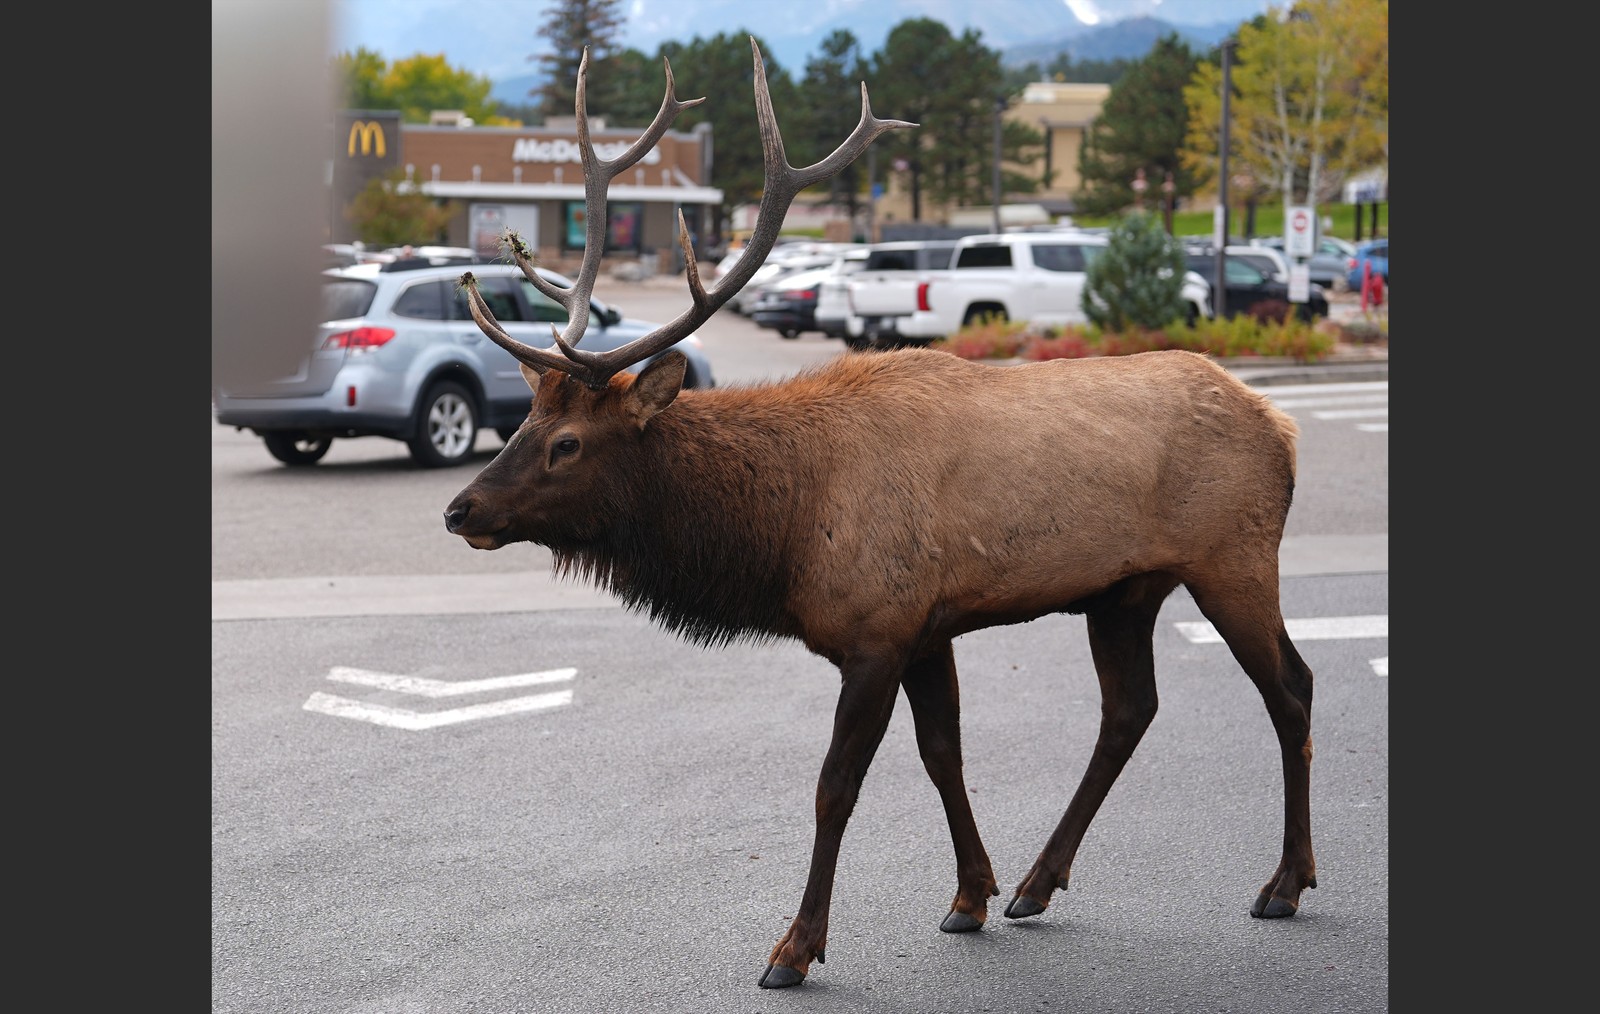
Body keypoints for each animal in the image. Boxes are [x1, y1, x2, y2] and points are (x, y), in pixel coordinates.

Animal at [443, 38, 1317, 990]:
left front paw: (794, 948)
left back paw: (1285, 882)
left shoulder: (874, 630)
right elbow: (944, 756)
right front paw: (972, 895)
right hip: (1125, 591)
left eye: (567, 443)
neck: (785, 529)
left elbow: (836, 786)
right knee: (1130, 711)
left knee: (1292, 688)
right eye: (523, 422)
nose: (459, 508)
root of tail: (1283, 426)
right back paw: (1037, 885)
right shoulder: (926, 626)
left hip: (1233, 557)